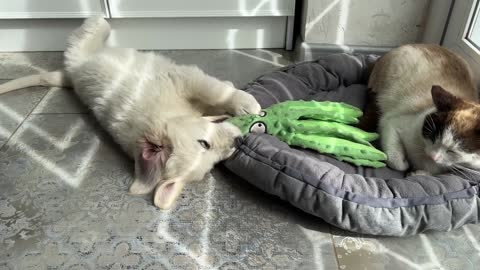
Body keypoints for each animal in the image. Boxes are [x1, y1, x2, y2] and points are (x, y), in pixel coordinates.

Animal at [0, 16, 260, 210]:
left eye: (214, 163)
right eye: (204, 144)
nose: (239, 141)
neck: (166, 117)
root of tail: (70, 75)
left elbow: (214, 96)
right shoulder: (183, 78)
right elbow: (215, 90)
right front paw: (246, 102)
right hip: (83, 48)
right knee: (94, 28)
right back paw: (96, 17)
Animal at [370, 43, 478, 175]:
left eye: (453, 152)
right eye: (432, 135)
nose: (433, 156)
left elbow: (425, 174)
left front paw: (415, 173)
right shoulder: (391, 124)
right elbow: (397, 163)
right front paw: (407, 166)